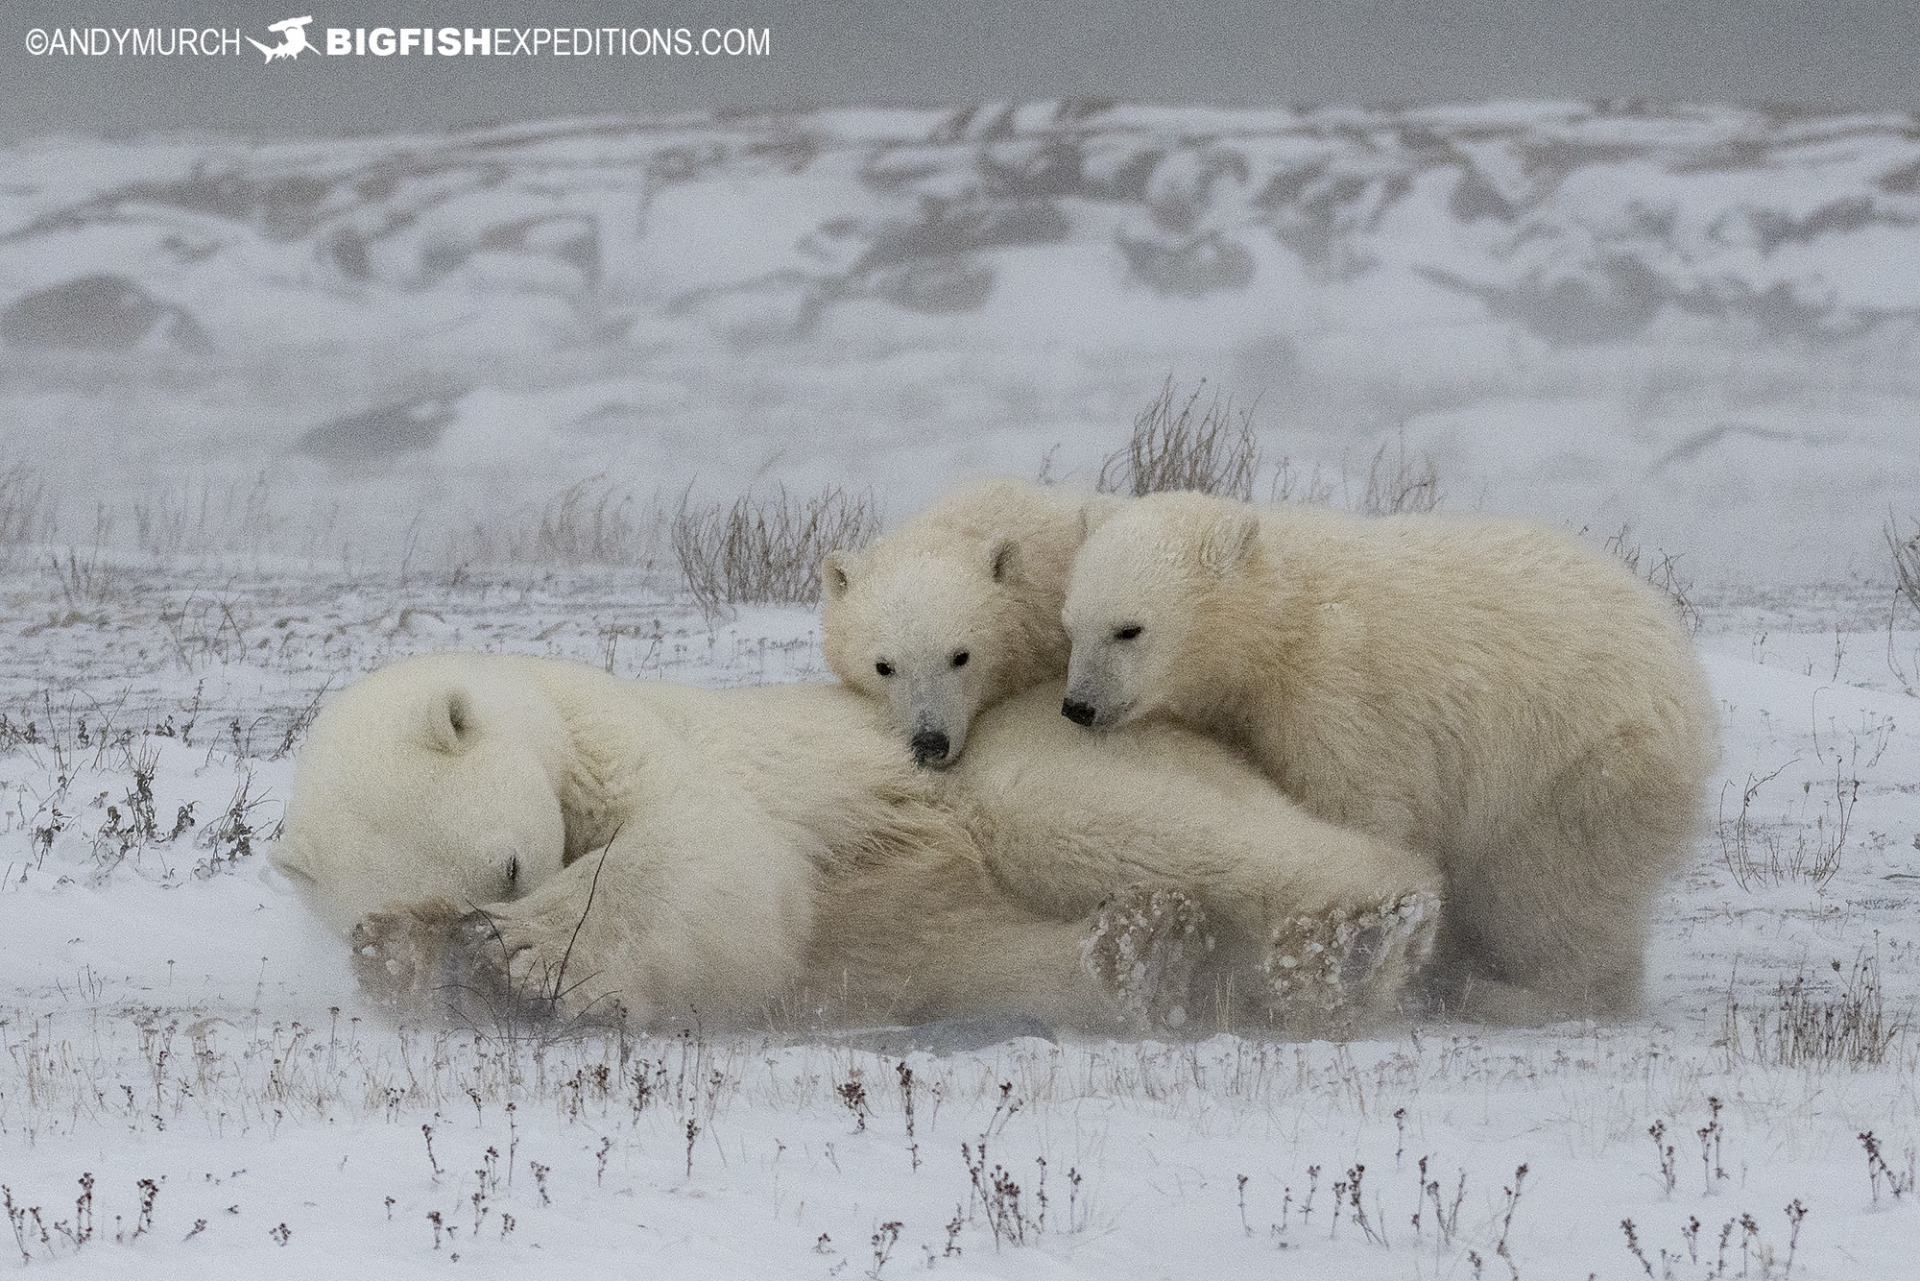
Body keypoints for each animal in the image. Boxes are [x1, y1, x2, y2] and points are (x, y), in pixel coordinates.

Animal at [273, 653, 1443, 1035]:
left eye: (512, 864)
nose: (491, 913)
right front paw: (420, 953)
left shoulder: (628, 739)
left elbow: (708, 853)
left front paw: (522, 959)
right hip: (947, 922)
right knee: (975, 954)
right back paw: (1147, 955)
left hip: (1024, 763)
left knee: (1092, 820)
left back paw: (1350, 939)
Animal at [1059, 490, 1720, 1023]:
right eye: (1072, 625)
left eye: (1129, 629)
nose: (1079, 706)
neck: (1278, 622)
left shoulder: (1337, 696)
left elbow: (1350, 809)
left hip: (1579, 762)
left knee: (1553, 892)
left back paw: (1521, 993)